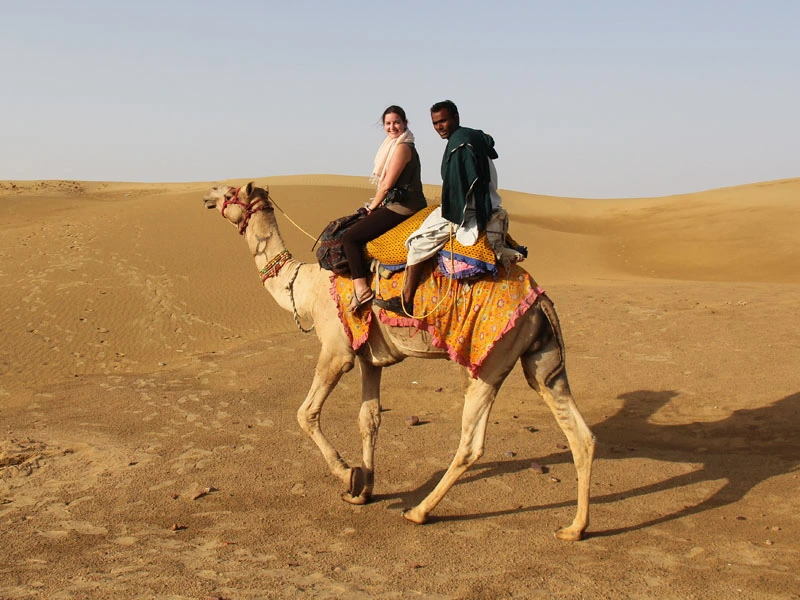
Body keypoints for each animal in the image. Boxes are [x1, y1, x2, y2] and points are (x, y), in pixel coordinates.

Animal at [202, 182, 596, 541]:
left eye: (230, 191)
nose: (206, 195)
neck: (306, 288)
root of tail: (540, 299)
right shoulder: (370, 360)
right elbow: (369, 419)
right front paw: (363, 491)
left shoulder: (337, 351)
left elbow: (306, 413)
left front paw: (348, 475)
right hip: (539, 359)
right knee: (580, 433)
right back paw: (574, 528)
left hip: (488, 359)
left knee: (472, 443)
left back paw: (419, 511)